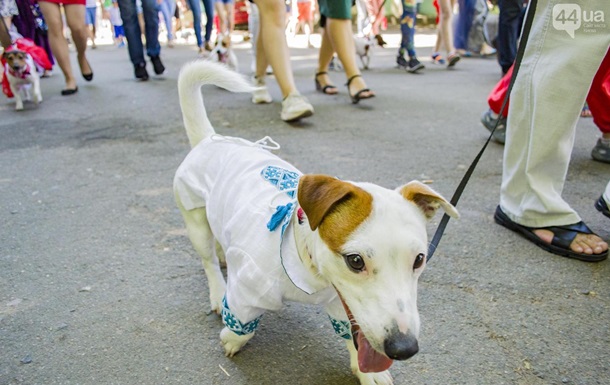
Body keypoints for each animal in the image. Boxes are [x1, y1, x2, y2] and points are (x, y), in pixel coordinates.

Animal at [171, 60, 456, 384]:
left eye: (420, 259)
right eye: (355, 261)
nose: (404, 348)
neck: (306, 264)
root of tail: (210, 140)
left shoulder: (342, 302)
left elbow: (354, 334)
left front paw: (367, 371)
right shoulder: (247, 290)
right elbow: (243, 321)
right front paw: (233, 338)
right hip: (193, 217)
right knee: (207, 259)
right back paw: (218, 290)